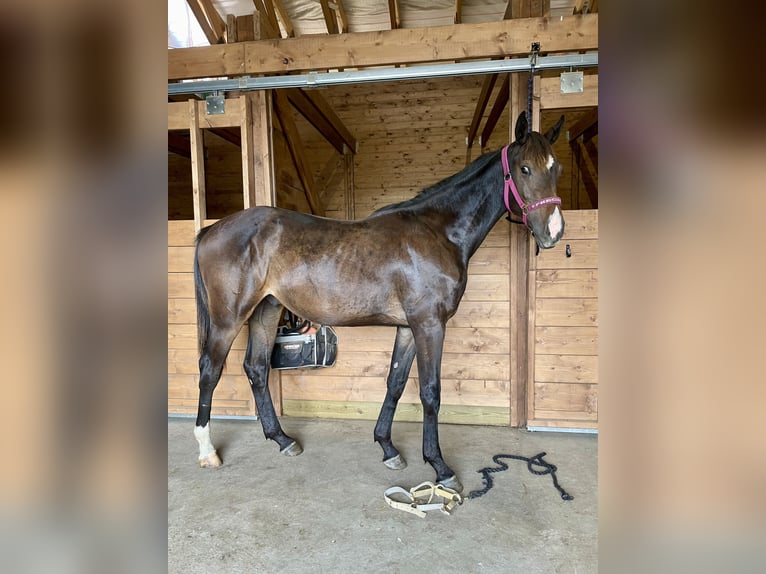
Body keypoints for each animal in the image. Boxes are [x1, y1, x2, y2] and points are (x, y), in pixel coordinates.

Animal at [192, 113, 564, 496]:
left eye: (557, 168)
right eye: (524, 169)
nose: (553, 231)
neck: (438, 232)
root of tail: (211, 231)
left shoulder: (408, 327)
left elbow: (395, 382)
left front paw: (388, 447)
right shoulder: (429, 324)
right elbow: (430, 392)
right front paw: (440, 467)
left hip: (266, 309)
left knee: (256, 368)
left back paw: (282, 440)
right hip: (228, 319)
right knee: (209, 370)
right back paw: (207, 451)